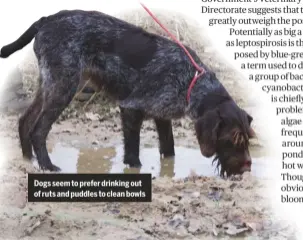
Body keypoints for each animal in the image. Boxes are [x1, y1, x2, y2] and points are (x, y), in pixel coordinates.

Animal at [0, 9, 256, 177]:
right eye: (231, 139)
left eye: (247, 138)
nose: (247, 167)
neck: (192, 81)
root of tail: (46, 20)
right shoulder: (131, 108)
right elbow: (133, 154)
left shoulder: (162, 115)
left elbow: (169, 149)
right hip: (64, 87)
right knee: (38, 130)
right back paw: (46, 165)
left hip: (50, 85)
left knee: (24, 121)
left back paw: (27, 160)